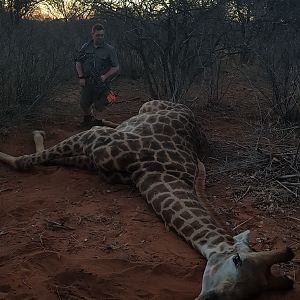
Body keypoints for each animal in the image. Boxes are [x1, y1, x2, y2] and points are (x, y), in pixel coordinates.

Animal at [0, 100, 294, 298]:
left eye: (250, 294)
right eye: (236, 260)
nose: (208, 298)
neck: (154, 170)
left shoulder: (95, 159)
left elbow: (38, 160)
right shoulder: (95, 140)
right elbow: (27, 160)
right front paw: (33, 137)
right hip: (146, 104)